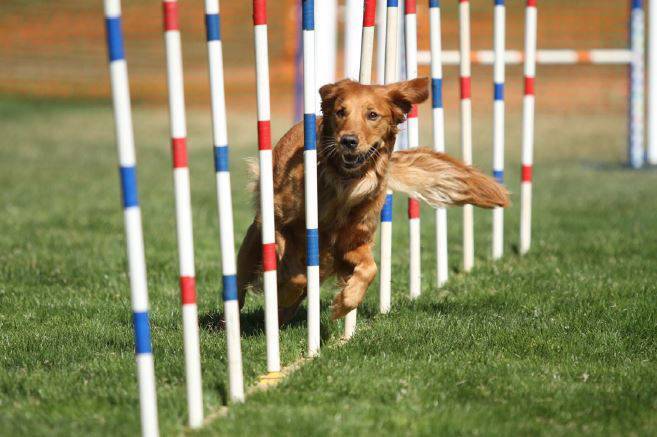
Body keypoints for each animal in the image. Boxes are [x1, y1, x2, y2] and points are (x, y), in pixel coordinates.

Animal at [236, 77, 508, 324]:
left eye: (373, 115)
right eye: (340, 112)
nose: (348, 141)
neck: (342, 185)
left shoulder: (352, 243)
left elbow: (371, 269)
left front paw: (345, 302)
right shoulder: (280, 223)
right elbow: (295, 273)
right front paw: (285, 292)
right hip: (253, 240)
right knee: (240, 280)